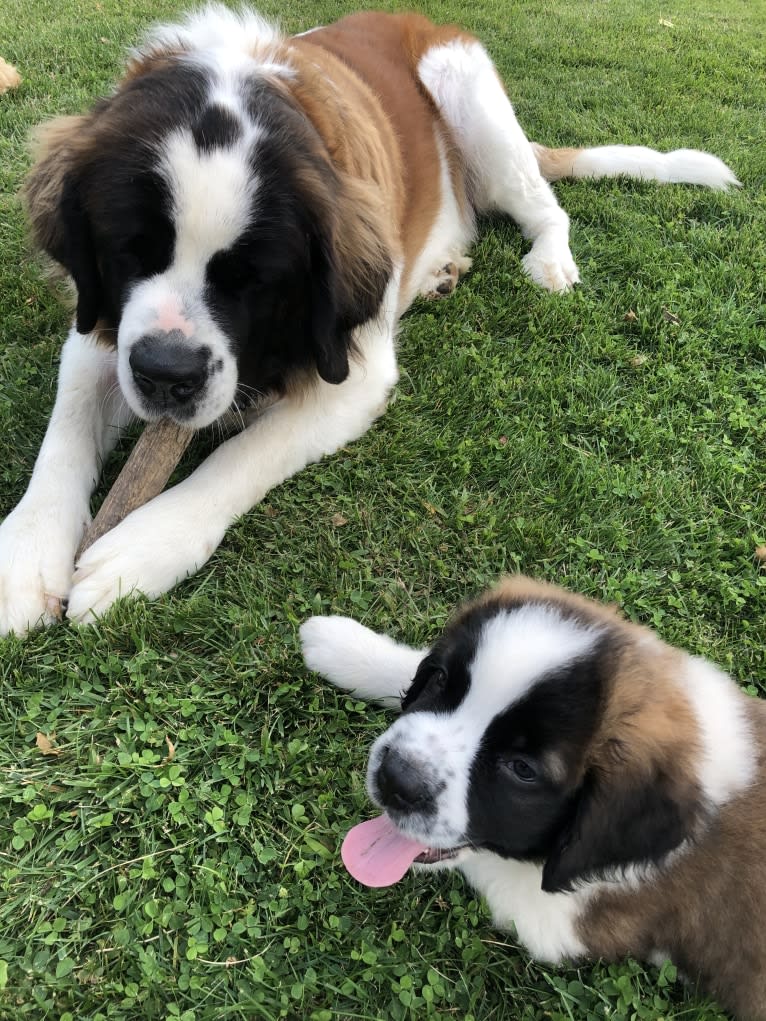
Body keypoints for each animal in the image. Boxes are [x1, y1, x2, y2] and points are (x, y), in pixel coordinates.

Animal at [1, 5, 743, 628]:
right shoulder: (99, 327)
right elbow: (66, 433)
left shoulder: (352, 374)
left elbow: (240, 457)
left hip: (466, 87)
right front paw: (23, 557)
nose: (166, 375)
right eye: (130, 250)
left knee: (546, 207)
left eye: (254, 279)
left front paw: (142, 547)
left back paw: (550, 262)